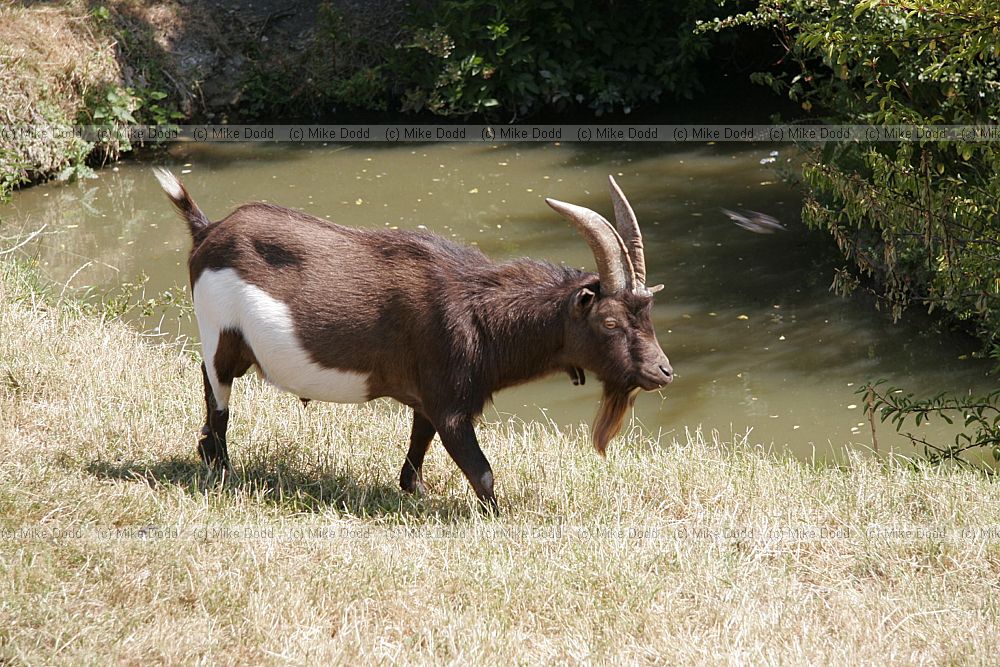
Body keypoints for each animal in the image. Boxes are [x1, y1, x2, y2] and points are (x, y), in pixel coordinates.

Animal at [154, 168, 673, 511]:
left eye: (648, 314)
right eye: (610, 323)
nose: (663, 371)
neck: (480, 311)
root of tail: (208, 231)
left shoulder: (428, 400)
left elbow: (417, 450)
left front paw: (414, 493)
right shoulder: (451, 405)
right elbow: (482, 473)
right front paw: (497, 519)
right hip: (220, 334)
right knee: (217, 392)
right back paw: (221, 470)